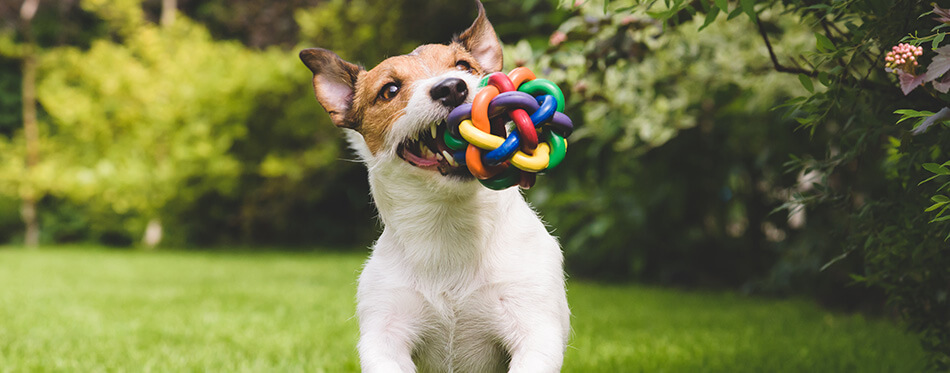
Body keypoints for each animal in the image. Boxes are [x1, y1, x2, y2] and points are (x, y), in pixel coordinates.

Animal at [302, 2, 572, 370]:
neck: (450, 224)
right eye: (389, 90)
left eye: (463, 66)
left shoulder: (534, 325)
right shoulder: (385, 334)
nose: (452, 87)